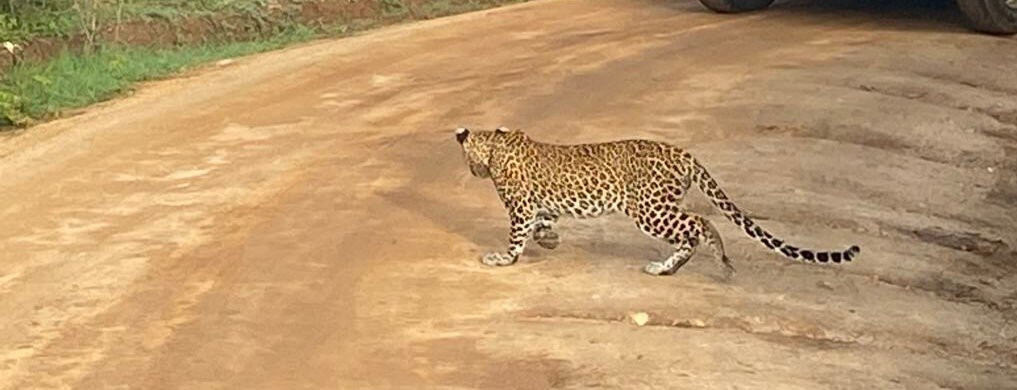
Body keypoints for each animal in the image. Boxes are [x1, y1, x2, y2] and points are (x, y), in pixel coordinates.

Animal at [453, 126, 858, 276]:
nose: (471, 171)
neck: (495, 143)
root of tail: (684, 153)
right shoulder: (541, 206)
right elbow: (544, 224)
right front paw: (550, 240)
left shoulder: (520, 208)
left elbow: (517, 238)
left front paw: (502, 258)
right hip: (658, 207)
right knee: (694, 229)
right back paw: (672, 267)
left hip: (648, 209)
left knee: (700, 225)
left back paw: (696, 262)